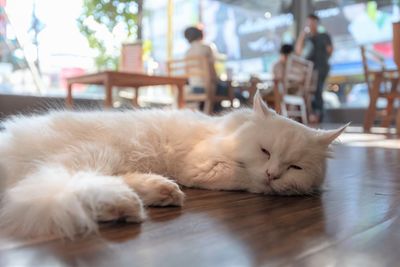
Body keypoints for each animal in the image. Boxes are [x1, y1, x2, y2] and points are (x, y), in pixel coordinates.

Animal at [0, 93, 346, 239]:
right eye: (265, 151)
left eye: (295, 167)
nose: (274, 173)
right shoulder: (203, 165)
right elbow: (245, 178)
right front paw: (265, 183)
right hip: (93, 153)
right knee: (49, 188)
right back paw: (122, 204)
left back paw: (160, 192)